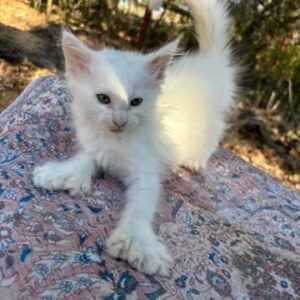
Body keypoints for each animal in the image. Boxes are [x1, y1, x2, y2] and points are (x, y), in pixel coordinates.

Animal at [33, 0, 237, 276]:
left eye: (136, 102)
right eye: (103, 99)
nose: (120, 120)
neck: (115, 141)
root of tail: (209, 62)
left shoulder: (146, 171)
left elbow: (141, 206)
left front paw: (135, 242)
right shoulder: (97, 146)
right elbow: (87, 158)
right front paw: (63, 174)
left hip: (211, 119)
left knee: (215, 133)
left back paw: (195, 160)